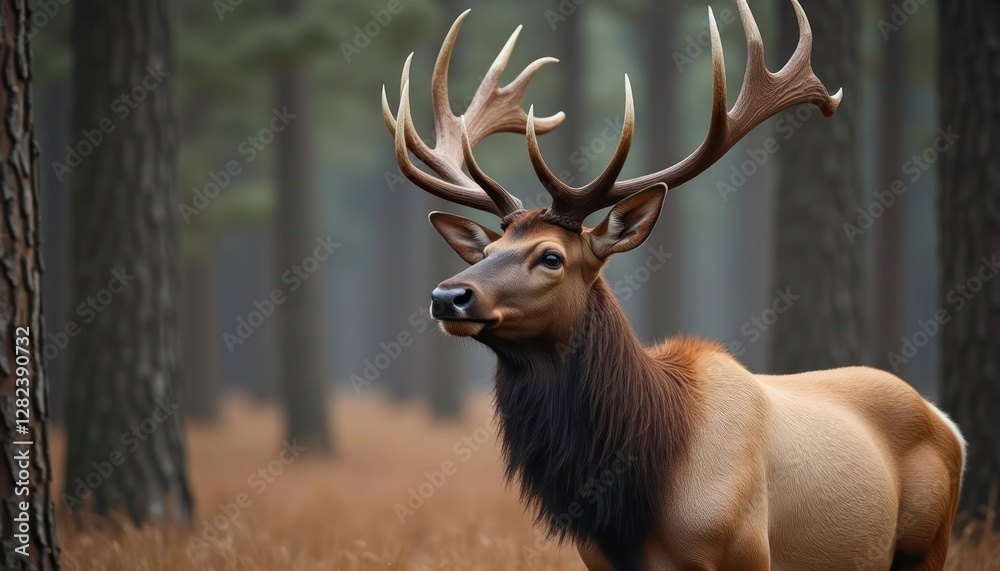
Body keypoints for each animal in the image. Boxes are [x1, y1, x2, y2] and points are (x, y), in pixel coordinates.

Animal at [381, 1, 965, 569]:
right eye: (487, 252)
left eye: (551, 257)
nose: (448, 296)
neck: (637, 508)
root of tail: (948, 423)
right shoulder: (600, 560)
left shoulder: (749, 551)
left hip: (927, 542)